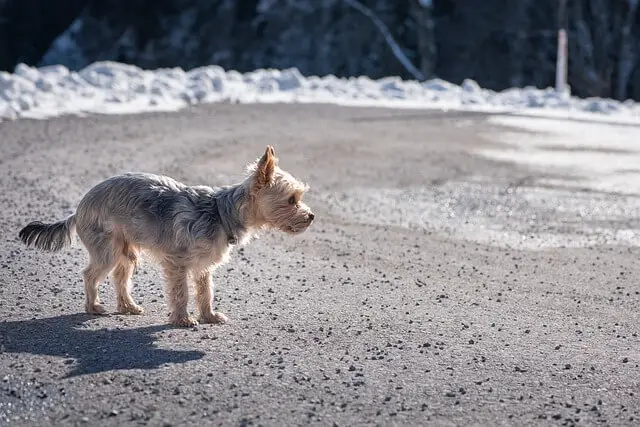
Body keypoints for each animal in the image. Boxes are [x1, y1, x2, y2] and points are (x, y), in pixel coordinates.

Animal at [16, 146, 312, 328]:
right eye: (291, 200)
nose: (311, 216)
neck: (220, 212)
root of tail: (79, 208)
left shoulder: (203, 268)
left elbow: (205, 292)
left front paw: (208, 316)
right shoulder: (177, 263)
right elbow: (181, 293)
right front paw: (182, 320)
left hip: (126, 250)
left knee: (120, 277)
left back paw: (128, 306)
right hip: (107, 250)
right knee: (90, 274)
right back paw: (93, 307)